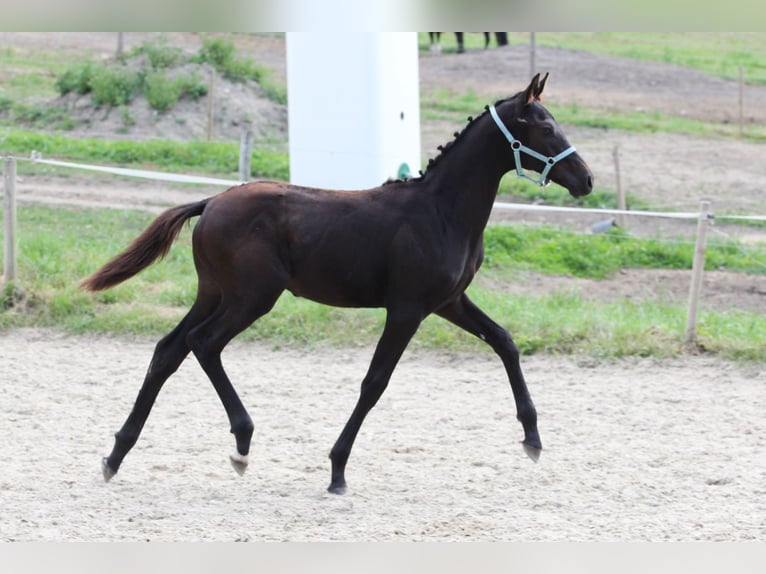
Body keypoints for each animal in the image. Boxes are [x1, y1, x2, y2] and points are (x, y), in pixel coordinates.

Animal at [87, 73, 596, 496]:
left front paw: (532, 438)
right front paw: (337, 470)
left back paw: (115, 455)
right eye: (545, 128)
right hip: (252, 297)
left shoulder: (449, 301)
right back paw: (241, 445)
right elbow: (375, 383)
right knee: (203, 343)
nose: (587, 180)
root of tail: (211, 202)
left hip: (215, 292)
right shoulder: (408, 308)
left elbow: (505, 342)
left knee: (169, 349)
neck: (440, 213)